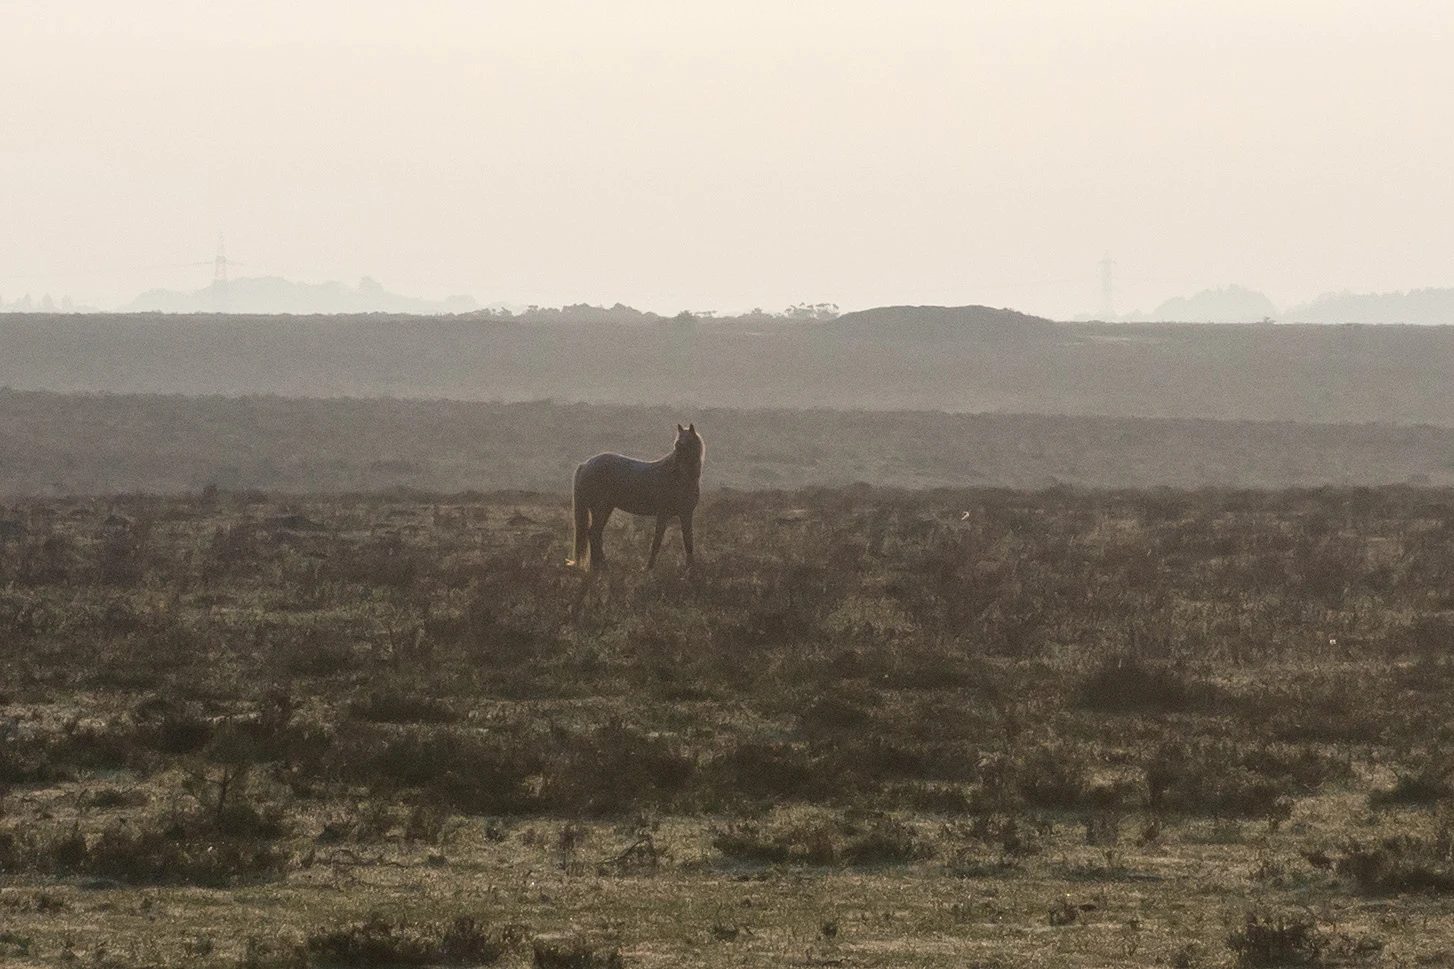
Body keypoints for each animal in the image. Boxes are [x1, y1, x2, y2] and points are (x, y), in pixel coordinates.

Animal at [567, 423, 704, 571]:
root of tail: (585, 464)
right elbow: (656, 542)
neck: (682, 480)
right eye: (677, 445)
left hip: (605, 509)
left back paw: (600, 565)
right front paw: (649, 568)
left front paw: (691, 568)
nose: (675, 470)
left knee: (595, 534)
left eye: (686, 444)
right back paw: (600, 566)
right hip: (600, 509)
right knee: (593, 533)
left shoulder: (686, 514)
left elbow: (688, 542)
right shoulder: (663, 514)